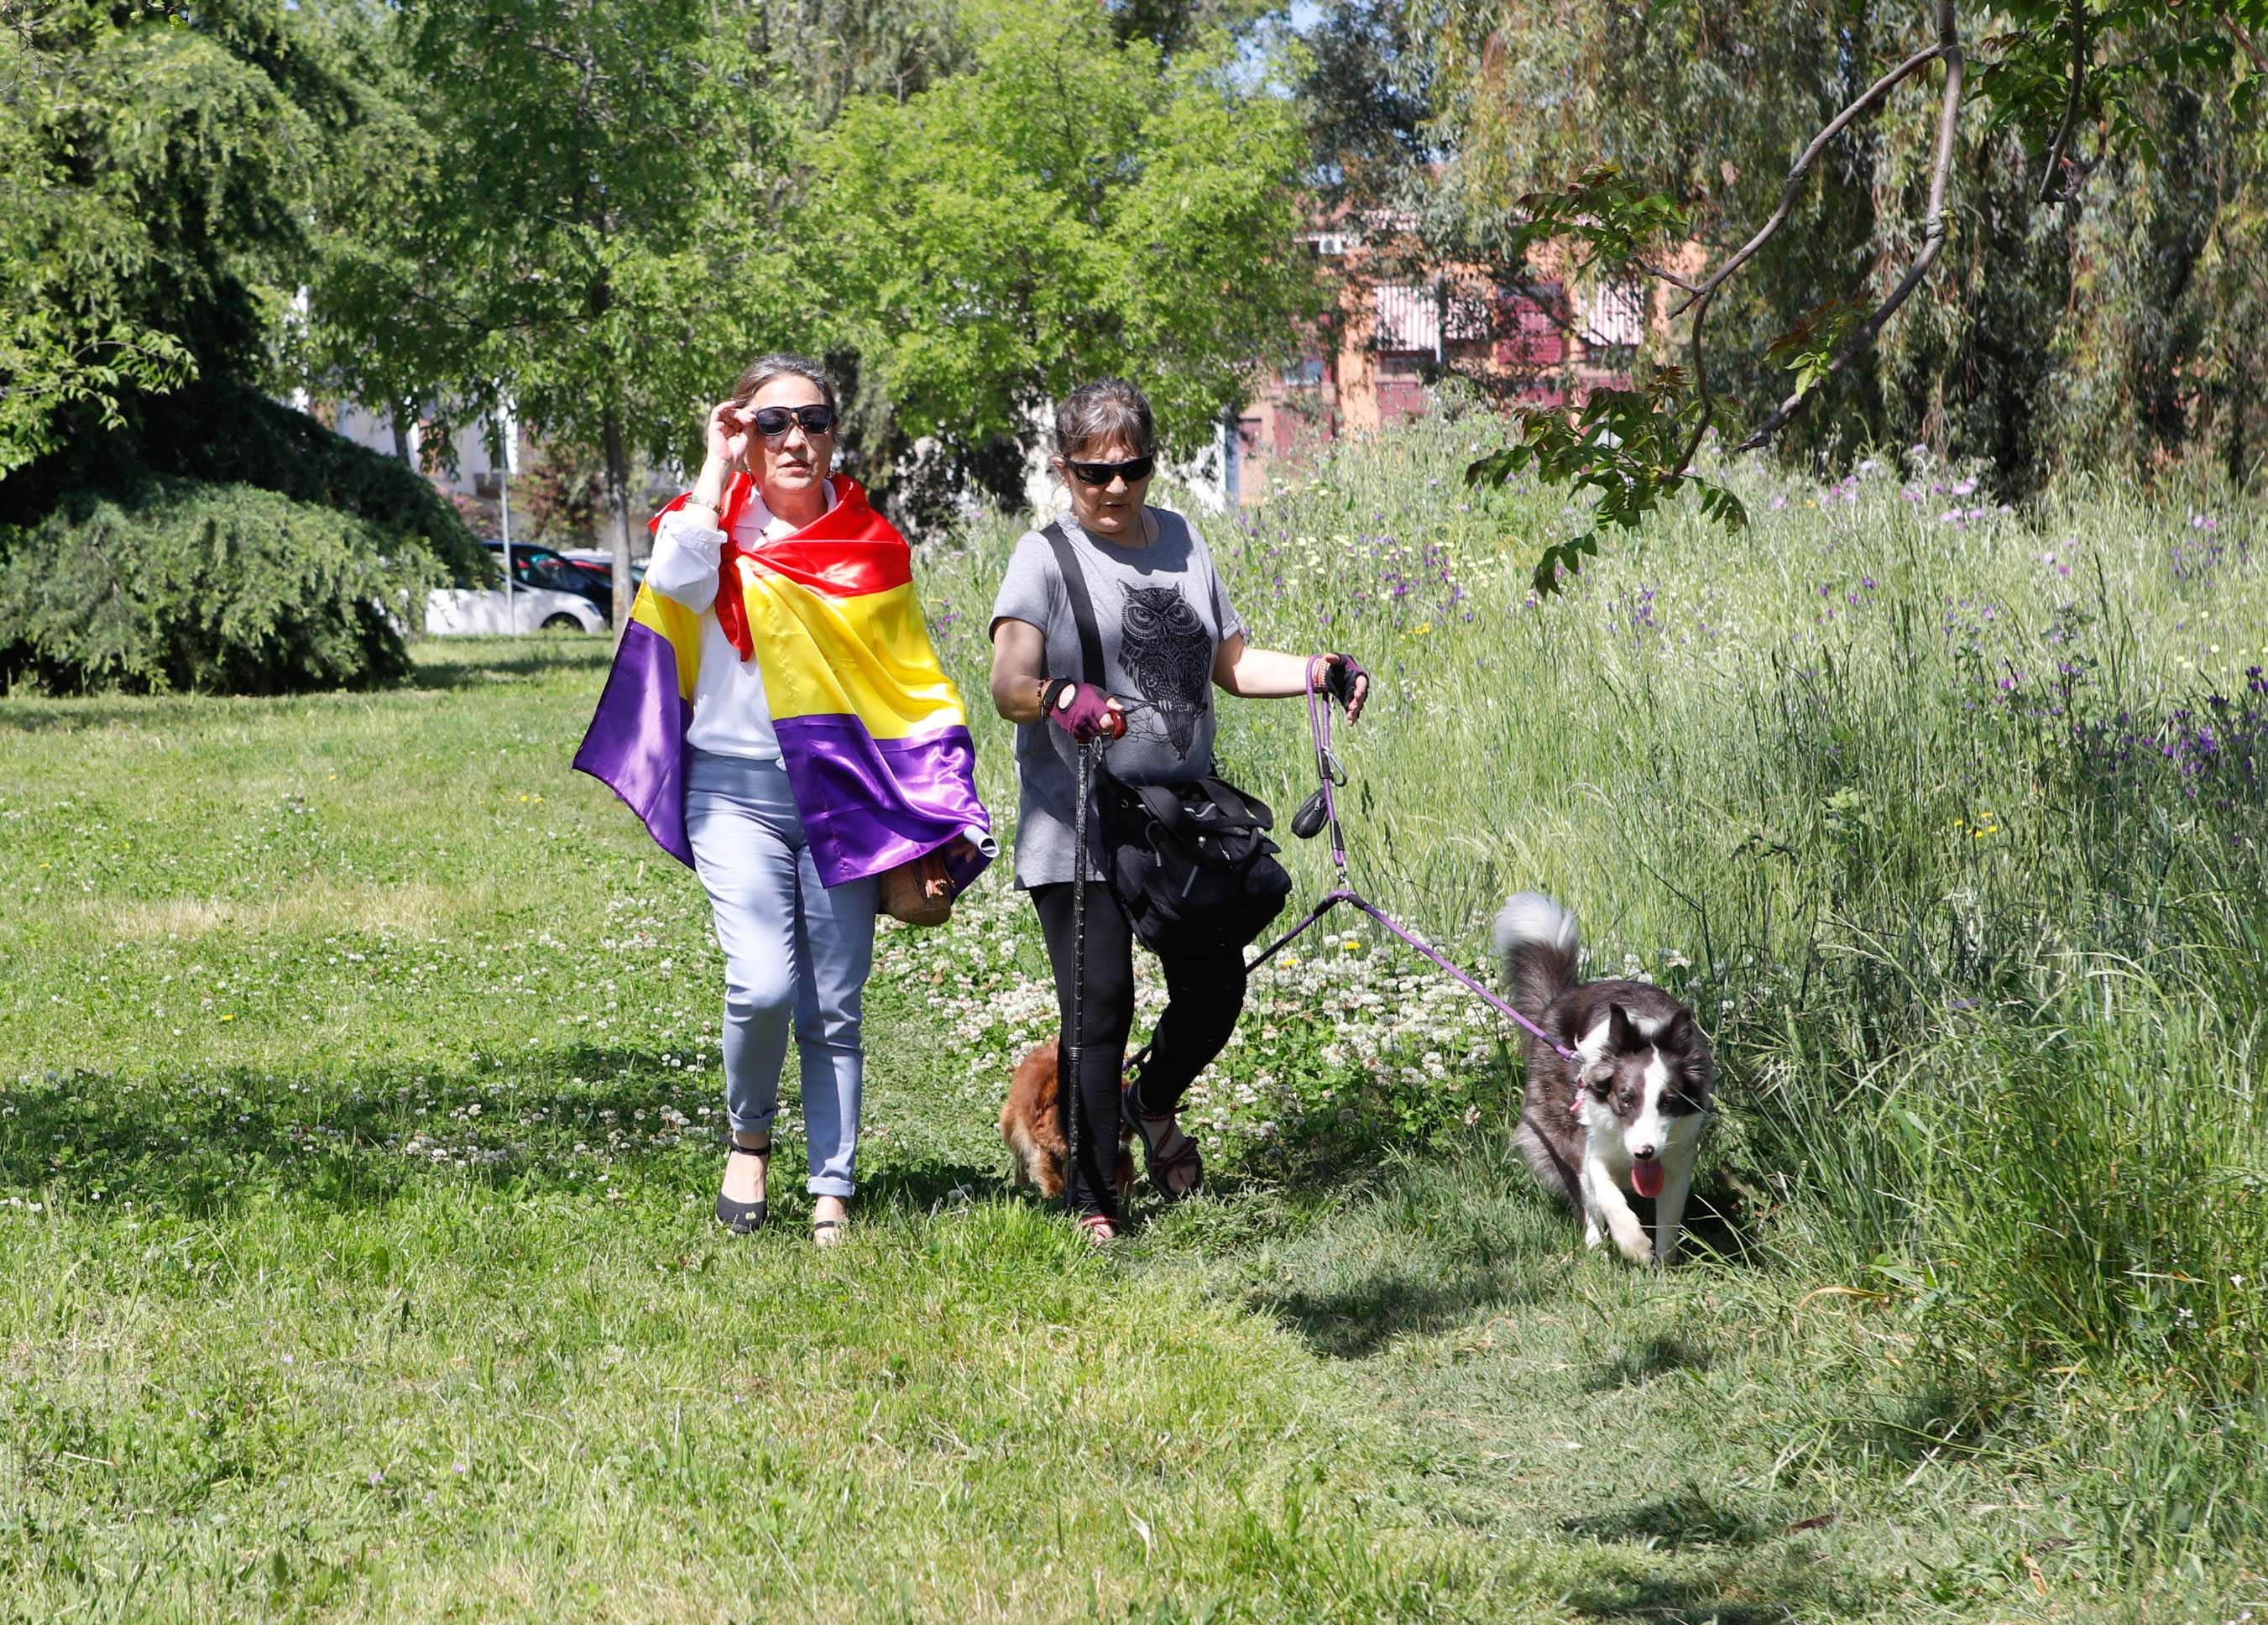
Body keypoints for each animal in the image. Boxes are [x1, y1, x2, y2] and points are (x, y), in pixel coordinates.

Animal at [1002, 1033, 1134, 1196]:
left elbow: (1124, 1171)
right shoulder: (1045, 1141)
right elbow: (1052, 1172)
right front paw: (1055, 1194)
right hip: (1014, 1126)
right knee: (1020, 1158)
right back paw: (1023, 1184)